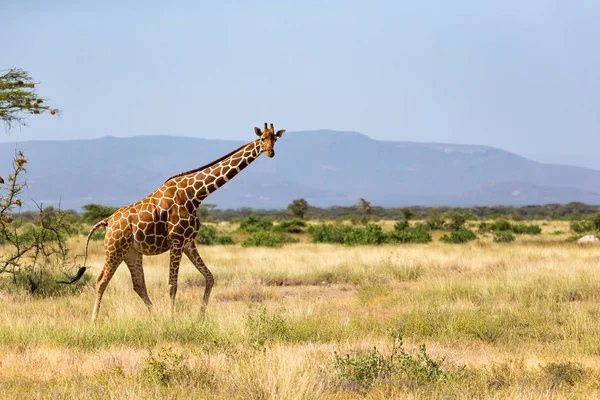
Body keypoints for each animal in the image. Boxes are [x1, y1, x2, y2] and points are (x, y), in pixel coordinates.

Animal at [67, 122, 286, 322]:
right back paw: (94, 322)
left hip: (131, 253)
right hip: (114, 249)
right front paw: (173, 321)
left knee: (138, 285)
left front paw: (200, 317)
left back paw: (156, 318)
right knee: (101, 281)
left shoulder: (189, 242)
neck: (194, 194)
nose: (270, 152)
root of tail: (107, 221)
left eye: (275, 138)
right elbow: (173, 285)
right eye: (262, 138)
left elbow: (209, 277)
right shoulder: (177, 240)